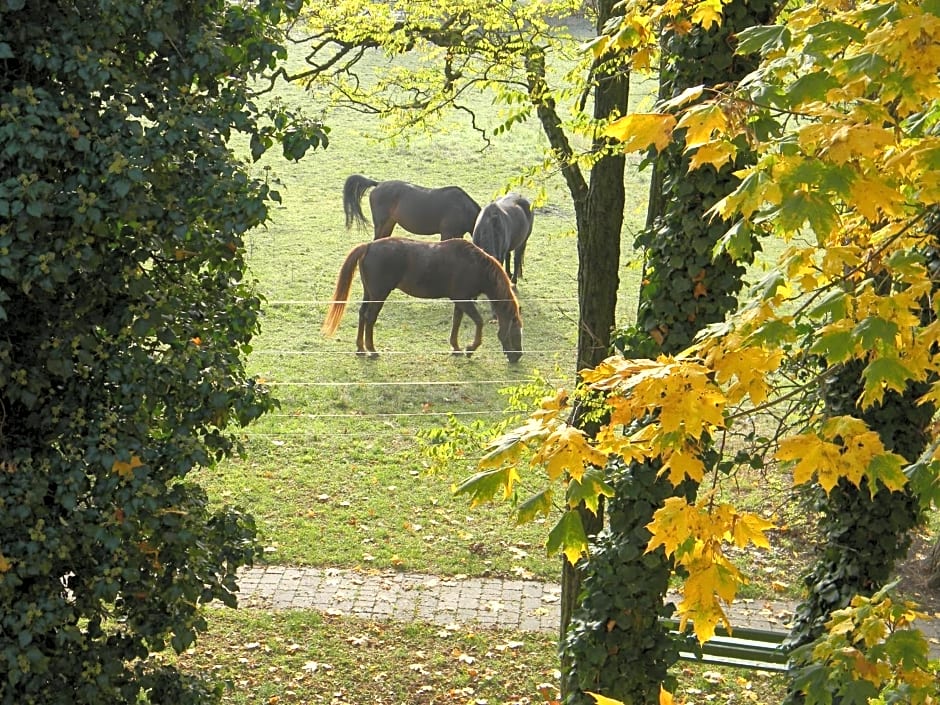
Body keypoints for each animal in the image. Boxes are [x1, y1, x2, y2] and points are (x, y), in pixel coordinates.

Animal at [324, 238, 524, 360]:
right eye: (516, 331)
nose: (518, 356)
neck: (475, 266)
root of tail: (368, 246)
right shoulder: (464, 301)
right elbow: (479, 321)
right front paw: (470, 348)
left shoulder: (460, 301)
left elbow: (456, 322)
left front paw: (456, 348)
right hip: (379, 295)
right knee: (369, 318)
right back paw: (372, 350)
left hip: (370, 294)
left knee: (362, 314)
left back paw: (361, 348)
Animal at [342, 174, 482, 241]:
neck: (462, 207)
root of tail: (378, 184)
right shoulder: (447, 233)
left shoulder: (458, 234)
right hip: (381, 224)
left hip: (389, 224)